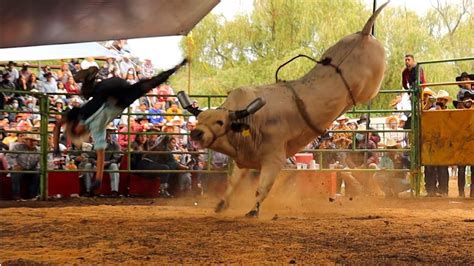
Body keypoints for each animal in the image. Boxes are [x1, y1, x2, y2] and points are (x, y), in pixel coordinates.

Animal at [178, 2, 388, 218]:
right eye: (200, 119)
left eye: (220, 122)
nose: (196, 133)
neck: (250, 121)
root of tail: (364, 34)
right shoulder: (244, 158)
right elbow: (233, 183)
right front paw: (221, 204)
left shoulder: (274, 159)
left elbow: (262, 188)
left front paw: (253, 211)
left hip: (372, 86)